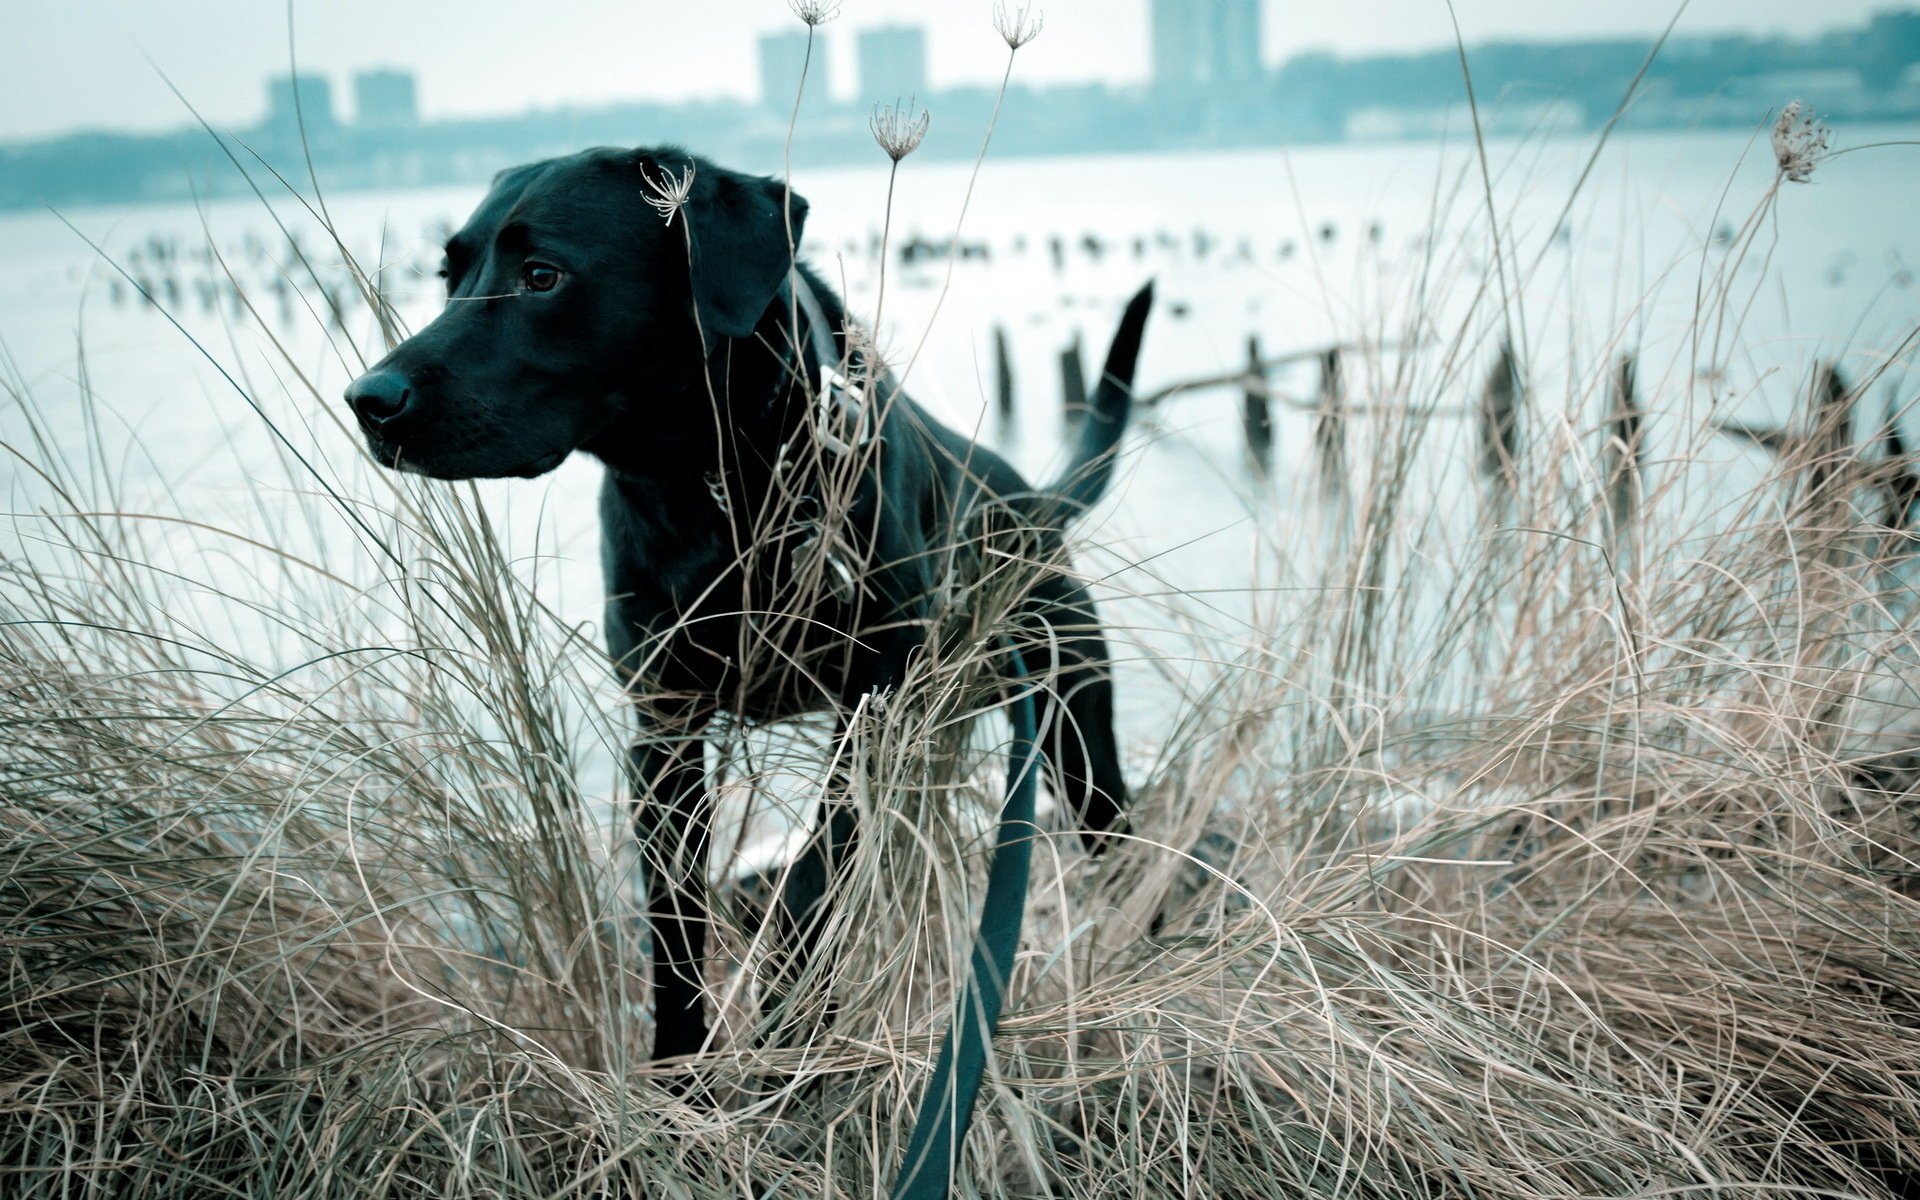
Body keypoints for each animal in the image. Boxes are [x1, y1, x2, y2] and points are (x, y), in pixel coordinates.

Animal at [345, 147, 1152, 1059]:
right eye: (449, 275)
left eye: (541, 275)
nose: (370, 400)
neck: (715, 484)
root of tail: (1031, 503)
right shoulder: (663, 736)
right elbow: (674, 929)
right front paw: (680, 1070)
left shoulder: (871, 713)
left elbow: (813, 884)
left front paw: (787, 1032)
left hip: (1074, 722)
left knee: (1112, 831)